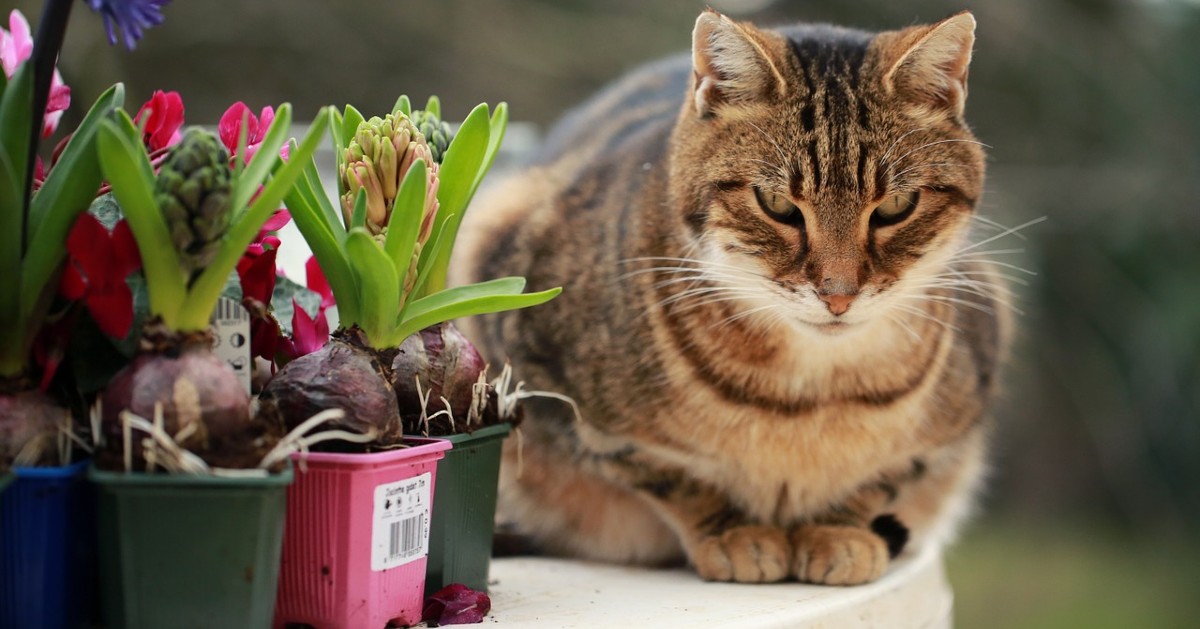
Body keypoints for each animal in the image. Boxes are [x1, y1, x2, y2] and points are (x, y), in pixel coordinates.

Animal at [448, 9, 1003, 585]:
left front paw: (837, 530)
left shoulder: (954, 417)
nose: (839, 295)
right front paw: (735, 533)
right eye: (777, 204)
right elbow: (665, 474)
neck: (806, 398)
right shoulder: (540, 365)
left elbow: (884, 479)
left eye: (896, 206)